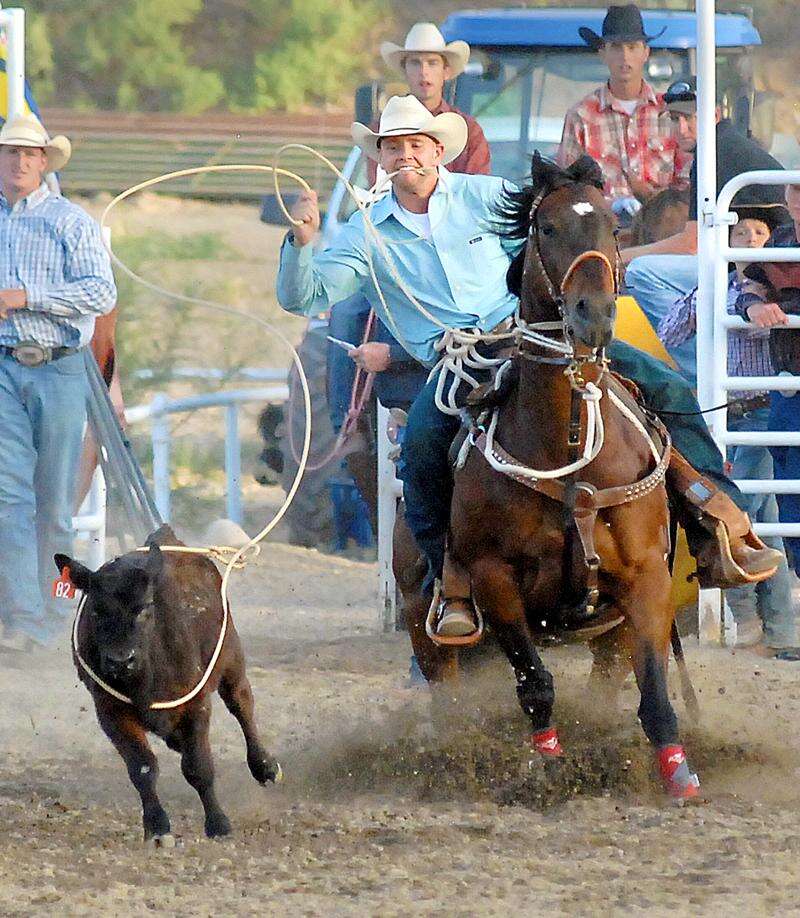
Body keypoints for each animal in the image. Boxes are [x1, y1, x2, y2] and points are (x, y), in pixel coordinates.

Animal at [406, 155, 700, 800]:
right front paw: (548, 768)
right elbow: (535, 684)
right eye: (547, 228)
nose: (594, 315)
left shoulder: (645, 577)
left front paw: (678, 774)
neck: (568, 455)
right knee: (448, 689)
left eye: (613, 229)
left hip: (609, 630)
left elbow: (653, 690)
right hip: (425, 624)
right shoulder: (494, 577)